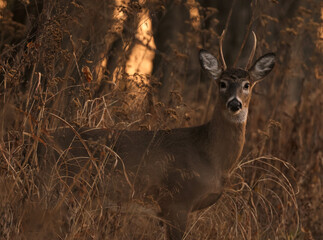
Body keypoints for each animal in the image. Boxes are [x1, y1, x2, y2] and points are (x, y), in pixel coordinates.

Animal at [39, 31, 274, 240]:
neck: (209, 155)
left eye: (247, 85)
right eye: (222, 83)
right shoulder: (176, 201)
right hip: (67, 187)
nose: (235, 104)